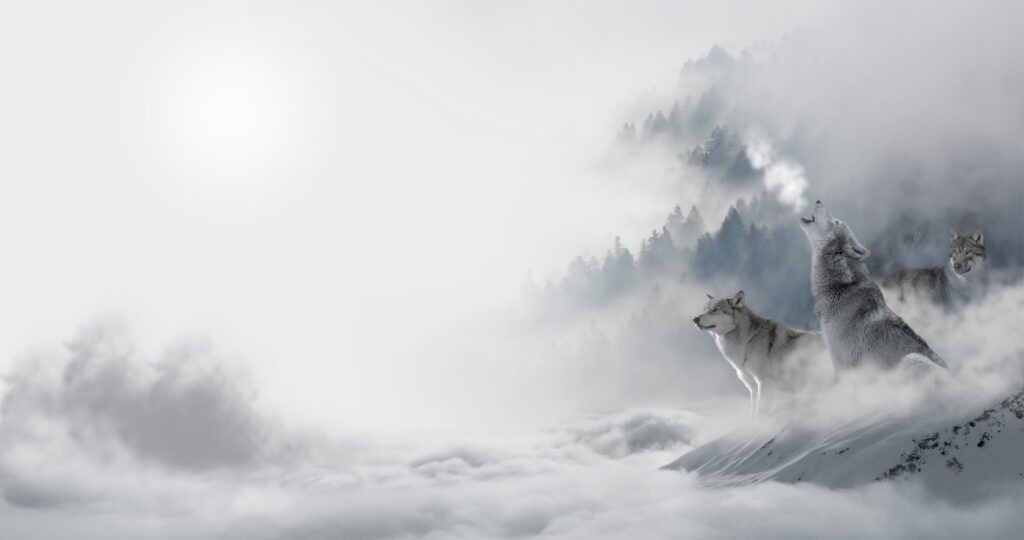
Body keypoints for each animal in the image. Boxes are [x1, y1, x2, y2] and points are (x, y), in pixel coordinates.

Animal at [693, 291, 832, 416]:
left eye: (715, 310)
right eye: (705, 309)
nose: (695, 319)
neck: (747, 342)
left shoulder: (765, 383)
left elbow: (761, 413)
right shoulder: (753, 388)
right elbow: (753, 415)